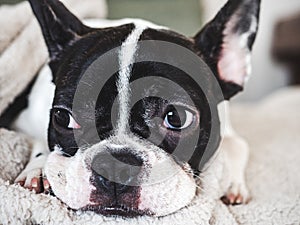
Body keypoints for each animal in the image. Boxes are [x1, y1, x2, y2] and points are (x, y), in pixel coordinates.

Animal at [7, 0, 260, 219]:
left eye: (177, 118)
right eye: (62, 117)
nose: (114, 165)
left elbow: (237, 145)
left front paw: (231, 182)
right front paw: (38, 169)